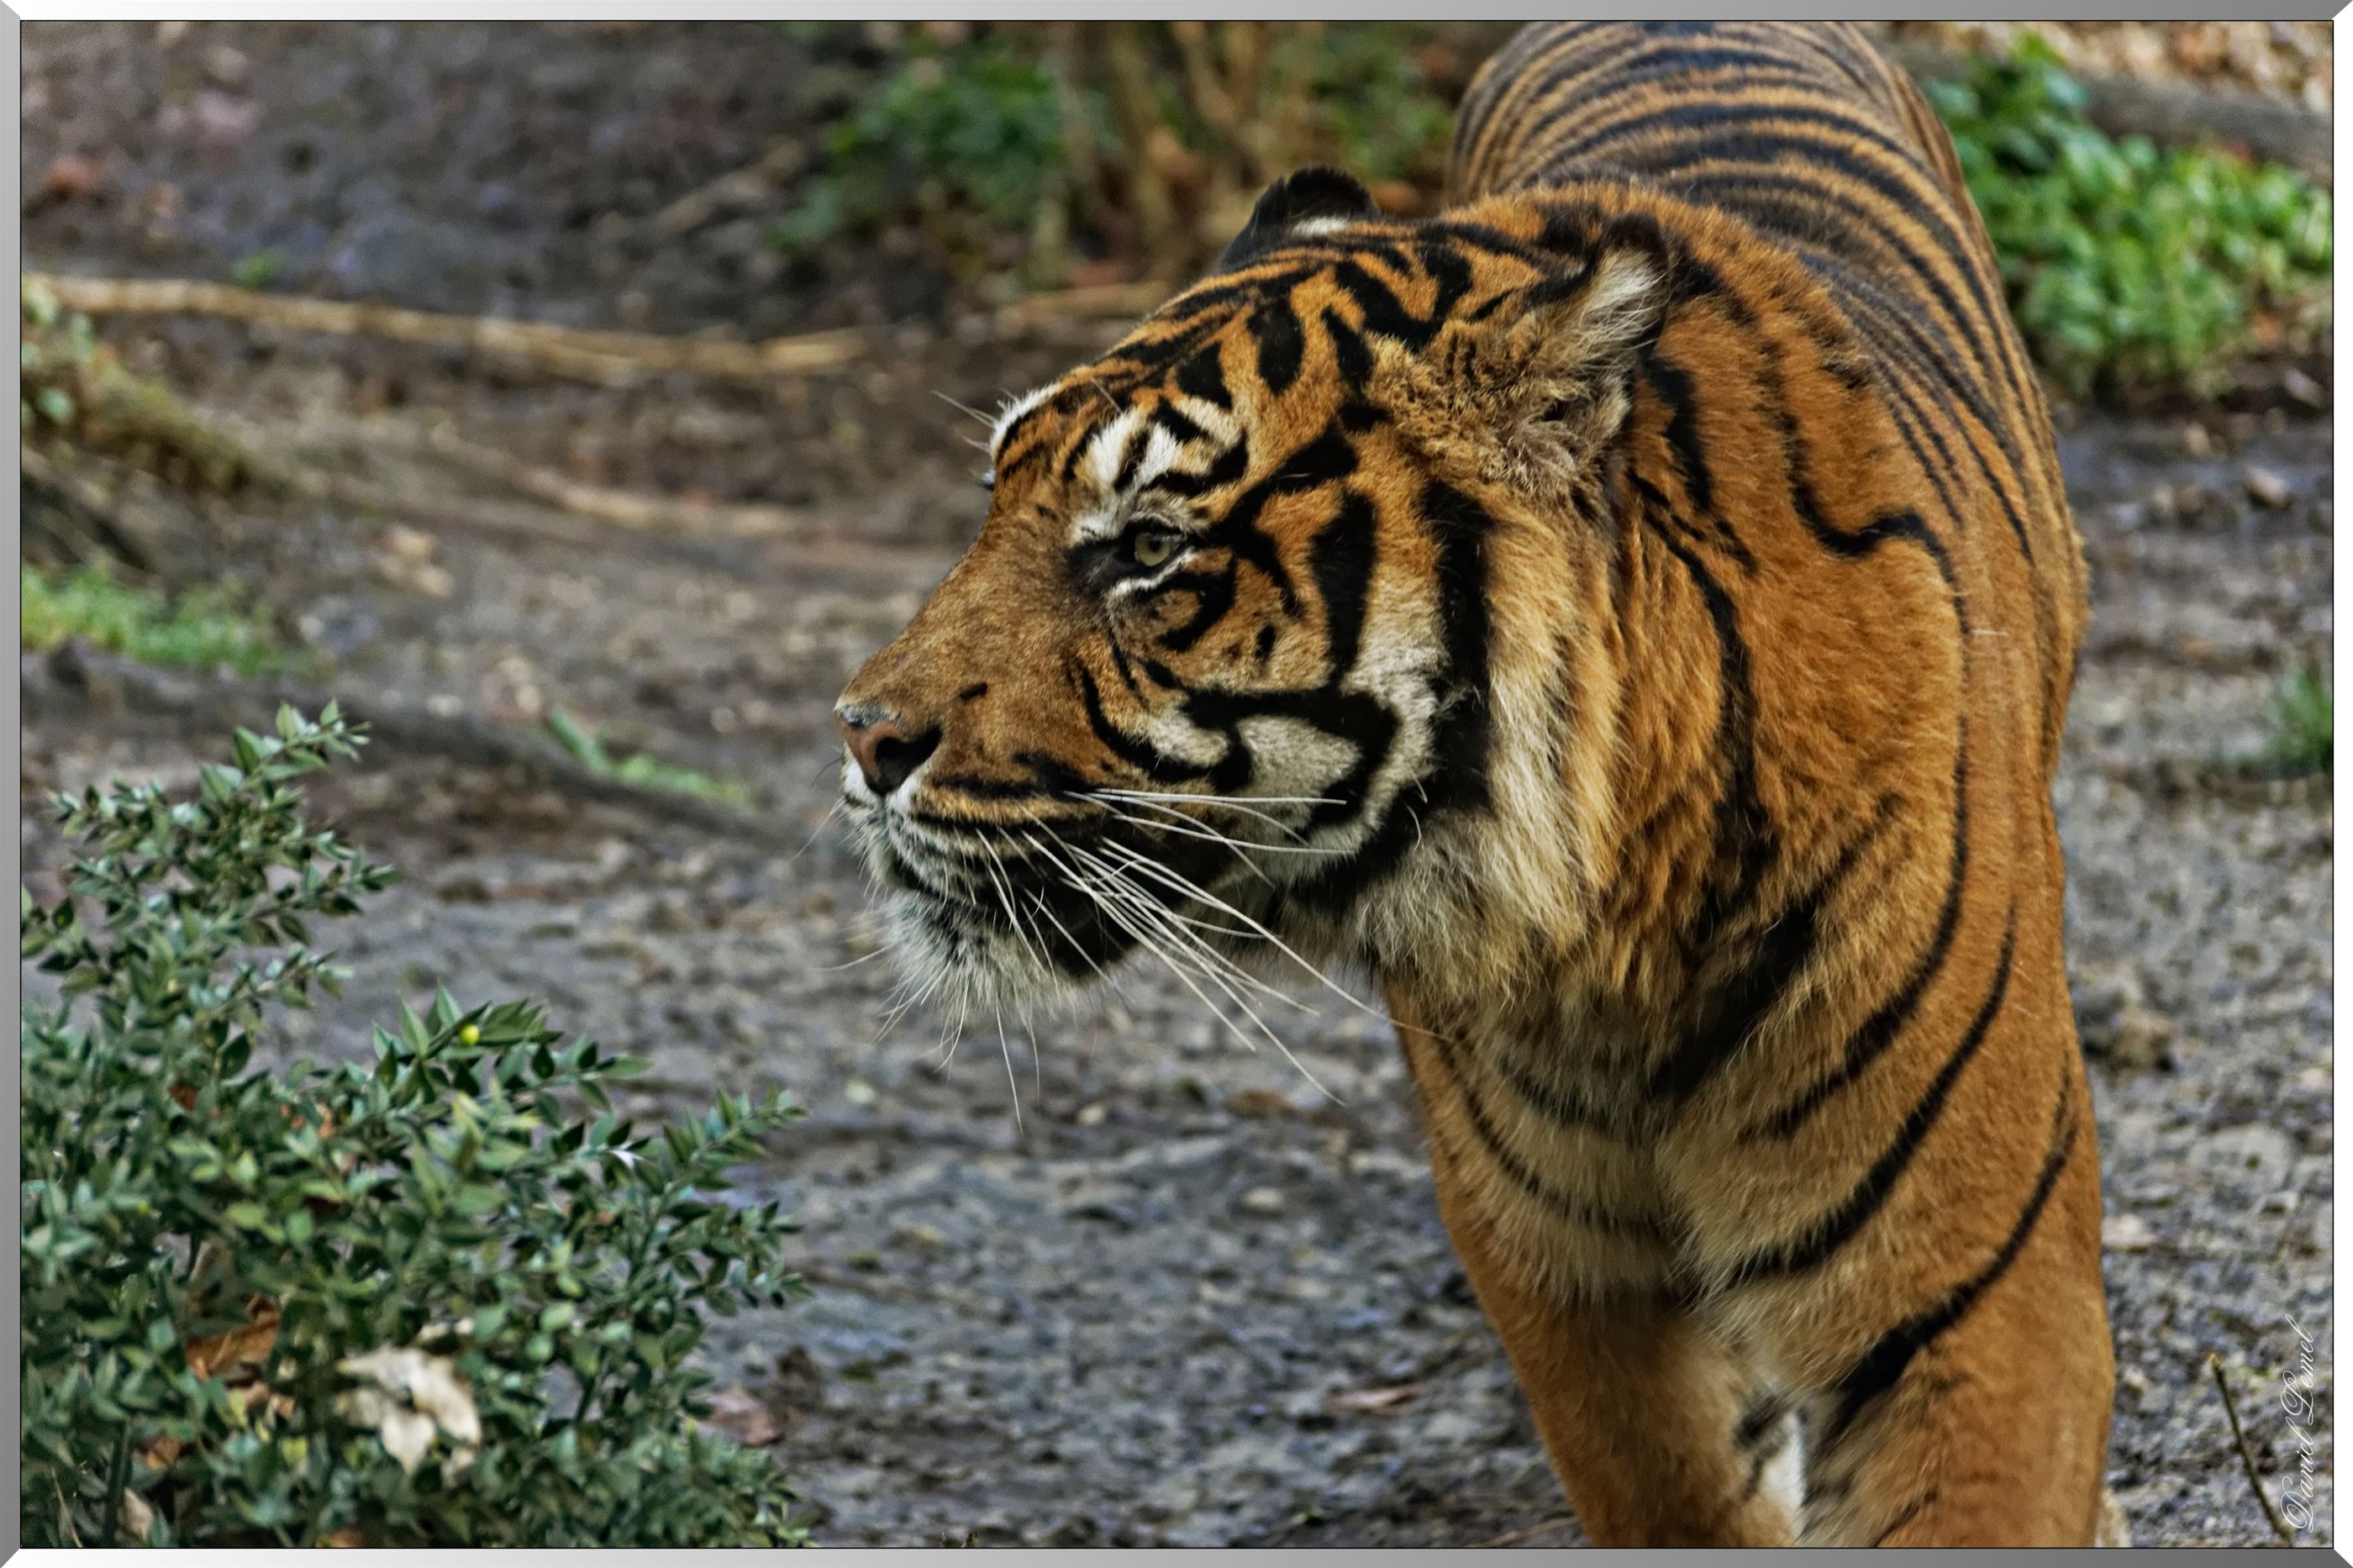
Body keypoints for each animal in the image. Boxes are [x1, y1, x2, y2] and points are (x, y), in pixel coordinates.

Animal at [835, 21, 2116, 1547]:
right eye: (994, 495)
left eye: (1149, 548)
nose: (861, 735)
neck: (1623, 916)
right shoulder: (1577, 1292)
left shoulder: (1973, 1310)